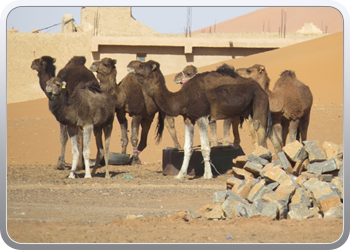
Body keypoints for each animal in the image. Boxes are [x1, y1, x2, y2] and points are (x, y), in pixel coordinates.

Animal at [129, 59, 270, 180]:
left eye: (142, 65)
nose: (129, 65)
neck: (182, 98)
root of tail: (262, 89)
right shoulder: (188, 118)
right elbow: (188, 148)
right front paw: (180, 175)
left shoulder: (202, 116)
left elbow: (205, 147)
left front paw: (207, 175)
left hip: (260, 105)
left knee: (261, 136)